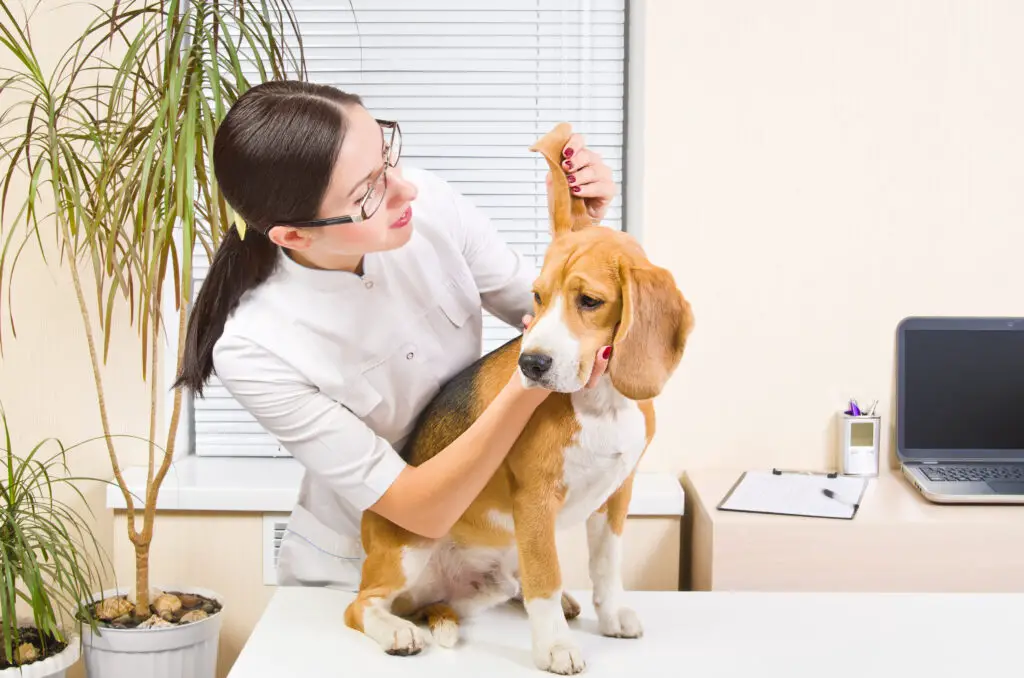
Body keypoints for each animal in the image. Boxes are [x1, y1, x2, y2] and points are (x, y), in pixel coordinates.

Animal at [344, 122, 696, 675]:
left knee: (511, 585)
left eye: (589, 301)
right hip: (407, 548)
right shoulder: (535, 499)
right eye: (537, 297)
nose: (531, 365)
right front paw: (553, 646)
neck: (599, 403)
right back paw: (396, 630)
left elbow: (606, 564)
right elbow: (545, 577)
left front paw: (610, 614)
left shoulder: (618, 494)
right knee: (361, 605)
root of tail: (434, 601)